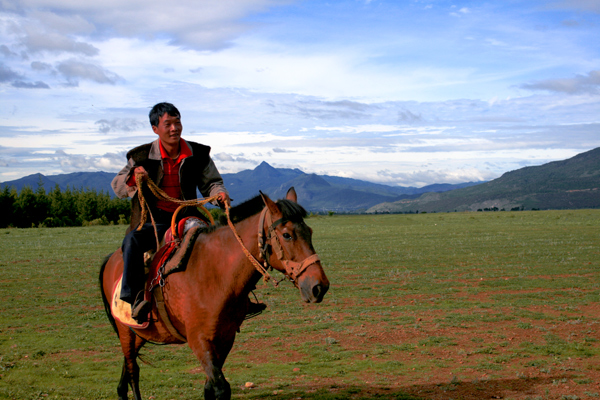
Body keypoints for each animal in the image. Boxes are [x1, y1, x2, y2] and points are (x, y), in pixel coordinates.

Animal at [101, 188, 330, 400]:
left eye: (309, 232)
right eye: (287, 235)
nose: (319, 286)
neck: (213, 274)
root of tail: (111, 258)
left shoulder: (225, 337)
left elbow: (210, 388)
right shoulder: (199, 339)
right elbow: (220, 388)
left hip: (139, 332)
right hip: (126, 331)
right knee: (133, 371)